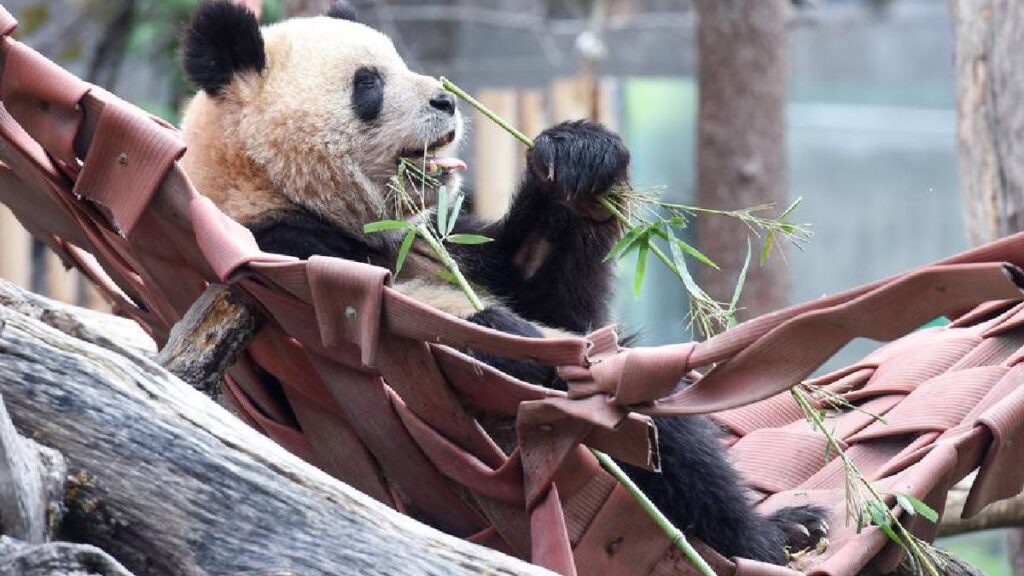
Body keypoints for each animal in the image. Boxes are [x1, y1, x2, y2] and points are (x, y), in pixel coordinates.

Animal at [178, 0, 827, 565]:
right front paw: (516, 344)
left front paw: (578, 158)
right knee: (657, 430)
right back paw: (761, 540)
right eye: (368, 85)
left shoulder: (440, 240)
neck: (264, 182)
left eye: (399, 62)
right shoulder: (283, 250)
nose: (446, 100)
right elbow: (429, 333)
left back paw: (790, 526)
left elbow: (544, 289)